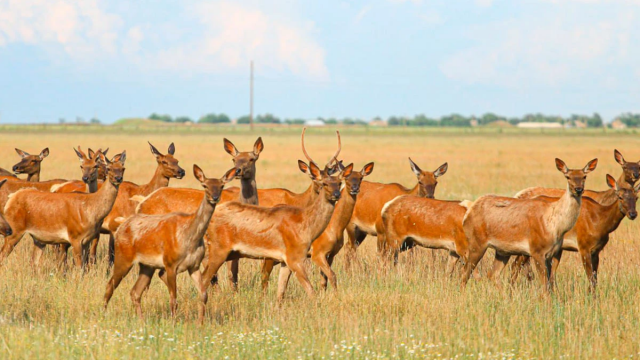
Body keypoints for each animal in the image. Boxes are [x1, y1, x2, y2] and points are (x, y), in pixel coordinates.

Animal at [105, 165, 238, 320]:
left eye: (221, 185)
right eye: (205, 185)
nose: (215, 197)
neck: (190, 239)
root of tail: (121, 226)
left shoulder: (194, 265)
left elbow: (204, 295)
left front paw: (200, 322)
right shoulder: (170, 264)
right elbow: (174, 300)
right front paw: (174, 322)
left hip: (147, 266)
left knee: (135, 292)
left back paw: (141, 320)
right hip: (123, 257)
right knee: (110, 285)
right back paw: (103, 313)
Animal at [462, 158, 596, 292]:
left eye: (584, 176)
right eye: (567, 176)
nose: (578, 189)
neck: (556, 226)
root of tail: (468, 212)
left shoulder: (551, 252)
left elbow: (549, 282)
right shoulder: (537, 250)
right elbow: (544, 285)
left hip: (502, 251)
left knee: (492, 274)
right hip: (477, 242)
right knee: (465, 273)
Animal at [508, 174, 636, 290]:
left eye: (636, 197)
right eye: (620, 197)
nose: (633, 214)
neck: (600, 223)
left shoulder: (596, 251)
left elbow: (595, 279)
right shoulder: (583, 247)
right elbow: (591, 278)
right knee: (516, 266)